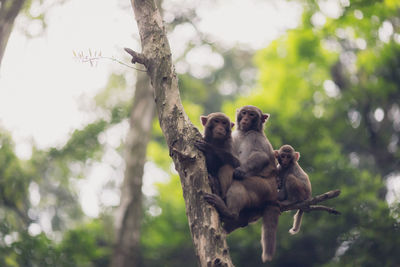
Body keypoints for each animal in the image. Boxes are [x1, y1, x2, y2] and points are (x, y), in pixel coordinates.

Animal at [205, 105, 280, 262]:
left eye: (252, 115)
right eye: (244, 113)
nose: (245, 119)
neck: (244, 132)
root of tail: (273, 194)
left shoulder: (255, 137)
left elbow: (260, 156)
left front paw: (212, 149)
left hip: (261, 187)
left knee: (238, 184)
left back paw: (229, 211)